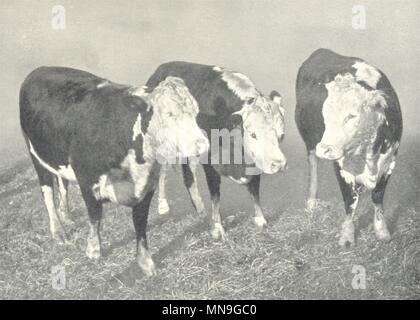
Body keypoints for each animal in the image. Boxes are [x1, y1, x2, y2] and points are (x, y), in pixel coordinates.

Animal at [20, 67, 210, 276]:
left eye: (196, 112)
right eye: (169, 114)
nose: (203, 145)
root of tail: (39, 70)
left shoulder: (146, 187)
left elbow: (140, 224)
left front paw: (146, 262)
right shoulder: (88, 181)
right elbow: (95, 217)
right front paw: (94, 250)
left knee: (63, 185)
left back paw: (66, 216)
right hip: (36, 156)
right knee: (47, 193)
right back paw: (58, 231)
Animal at [146, 61, 288, 239]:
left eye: (281, 135)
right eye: (253, 134)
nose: (279, 164)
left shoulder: (254, 162)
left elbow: (255, 190)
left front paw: (260, 219)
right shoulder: (210, 162)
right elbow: (215, 194)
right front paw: (217, 227)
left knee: (188, 174)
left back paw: (199, 207)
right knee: (163, 170)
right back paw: (163, 205)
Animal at [296, 48, 404, 246]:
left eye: (352, 116)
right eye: (325, 113)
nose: (325, 148)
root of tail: (322, 51)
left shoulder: (390, 160)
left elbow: (378, 197)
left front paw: (382, 232)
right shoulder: (341, 167)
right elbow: (349, 201)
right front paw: (347, 236)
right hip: (308, 139)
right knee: (313, 165)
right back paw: (311, 202)